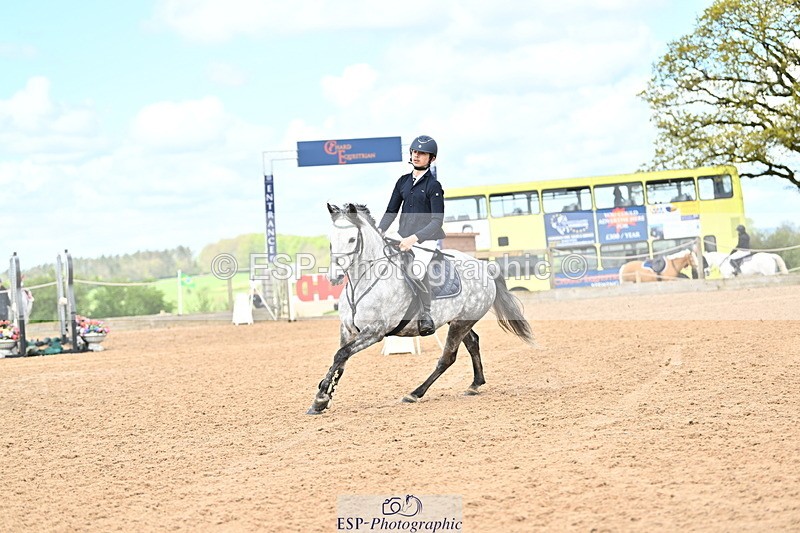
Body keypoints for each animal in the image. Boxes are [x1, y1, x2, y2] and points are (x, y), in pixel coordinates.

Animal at [307, 203, 534, 415]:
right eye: (331, 239)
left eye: (352, 239)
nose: (334, 277)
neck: (361, 284)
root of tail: (484, 266)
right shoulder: (347, 330)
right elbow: (340, 361)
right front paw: (324, 398)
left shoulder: (374, 332)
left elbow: (341, 354)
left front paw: (320, 398)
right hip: (459, 320)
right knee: (473, 344)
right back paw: (474, 384)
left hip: (460, 324)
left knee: (447, 357)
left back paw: (415, 393)